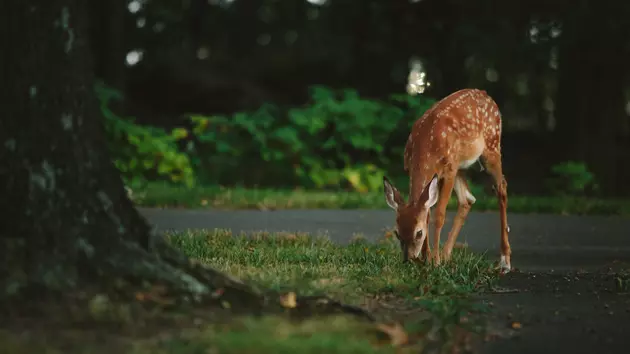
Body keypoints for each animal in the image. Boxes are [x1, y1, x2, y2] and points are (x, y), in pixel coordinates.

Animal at [386, 88, 512, 274]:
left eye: (418, 233)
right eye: (397, 233)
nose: (408, 260)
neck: (426, 147)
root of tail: (485, 94)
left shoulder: (449, 171)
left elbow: (439, 215)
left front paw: (435, 261)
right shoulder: (414, 169)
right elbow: (427, 212)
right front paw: (427, 259)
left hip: (491, 146)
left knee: (501, 187)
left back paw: (505, 260)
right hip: (461, 164)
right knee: (468, 199)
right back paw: (447, 255)